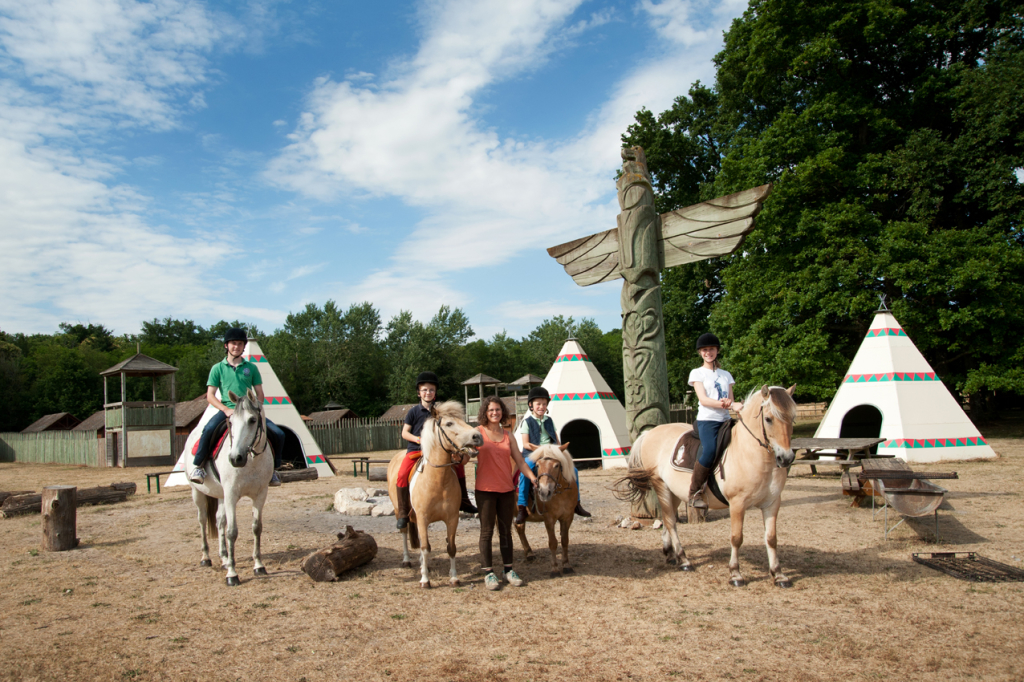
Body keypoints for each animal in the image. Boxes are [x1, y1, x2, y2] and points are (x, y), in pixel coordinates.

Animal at [185, 387, 272, 585]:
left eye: (252, 420)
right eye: (230, 422)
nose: (235, 458)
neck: (251, 462)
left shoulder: (260, 495)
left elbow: (256, 528)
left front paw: (259, 566)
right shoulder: (231, 495)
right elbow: (232, 532)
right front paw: (232, 574)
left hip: (220, 495)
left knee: (219, 521)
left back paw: (224, 558)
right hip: (197, 493)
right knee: (202, 520)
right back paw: (206, 558)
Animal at [387, 401, 483, 585]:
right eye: (449, 423)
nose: (477, 436)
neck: (438, 481)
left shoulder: (452, 518)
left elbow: (451, 547)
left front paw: (454, 577)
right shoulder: (423, 518)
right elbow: (425, 547)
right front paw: (425, 580)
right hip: (398, 511)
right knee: (404, 533)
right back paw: (407, 560)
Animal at [512, 440, 577, 573]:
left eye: (556, 465)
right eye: (537, 465)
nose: (544, 492)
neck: (561, 494)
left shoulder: (568, 517)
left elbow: (565, 541)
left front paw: (566, 565)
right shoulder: (549, 519)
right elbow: (553, 543)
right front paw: (555, 569)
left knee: (519, 527)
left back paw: (529, 553)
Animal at [614, 382, 798, 585]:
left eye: (793, 417)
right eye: (768, 419)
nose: (786, 458)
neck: (750, 453)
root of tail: (649, 433)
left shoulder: (772, 503)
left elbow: (771, 538)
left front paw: (778, 574)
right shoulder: (737, 504)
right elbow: (737, 538)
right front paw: (735, 574)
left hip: (675, 492)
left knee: (667, 520)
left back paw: (670, 555)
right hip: (661, 486)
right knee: (670, 522)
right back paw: (684, 559)